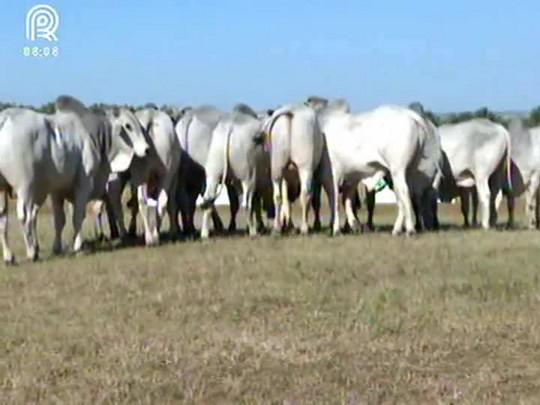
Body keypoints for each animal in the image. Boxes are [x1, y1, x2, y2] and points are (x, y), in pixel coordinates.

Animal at [0, 97, 149, 262]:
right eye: (128, 126)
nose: (147, 149)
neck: (97, 137)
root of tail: (4, 118)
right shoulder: (84, 185)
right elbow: (78, 216)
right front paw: (78, 246)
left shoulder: (57, 190)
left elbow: (60, 220)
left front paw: (57, 248)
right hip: (25, 187)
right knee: (25, 216)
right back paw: (32, 252)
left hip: (3, 189)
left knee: (3, 217)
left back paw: (9, 257)